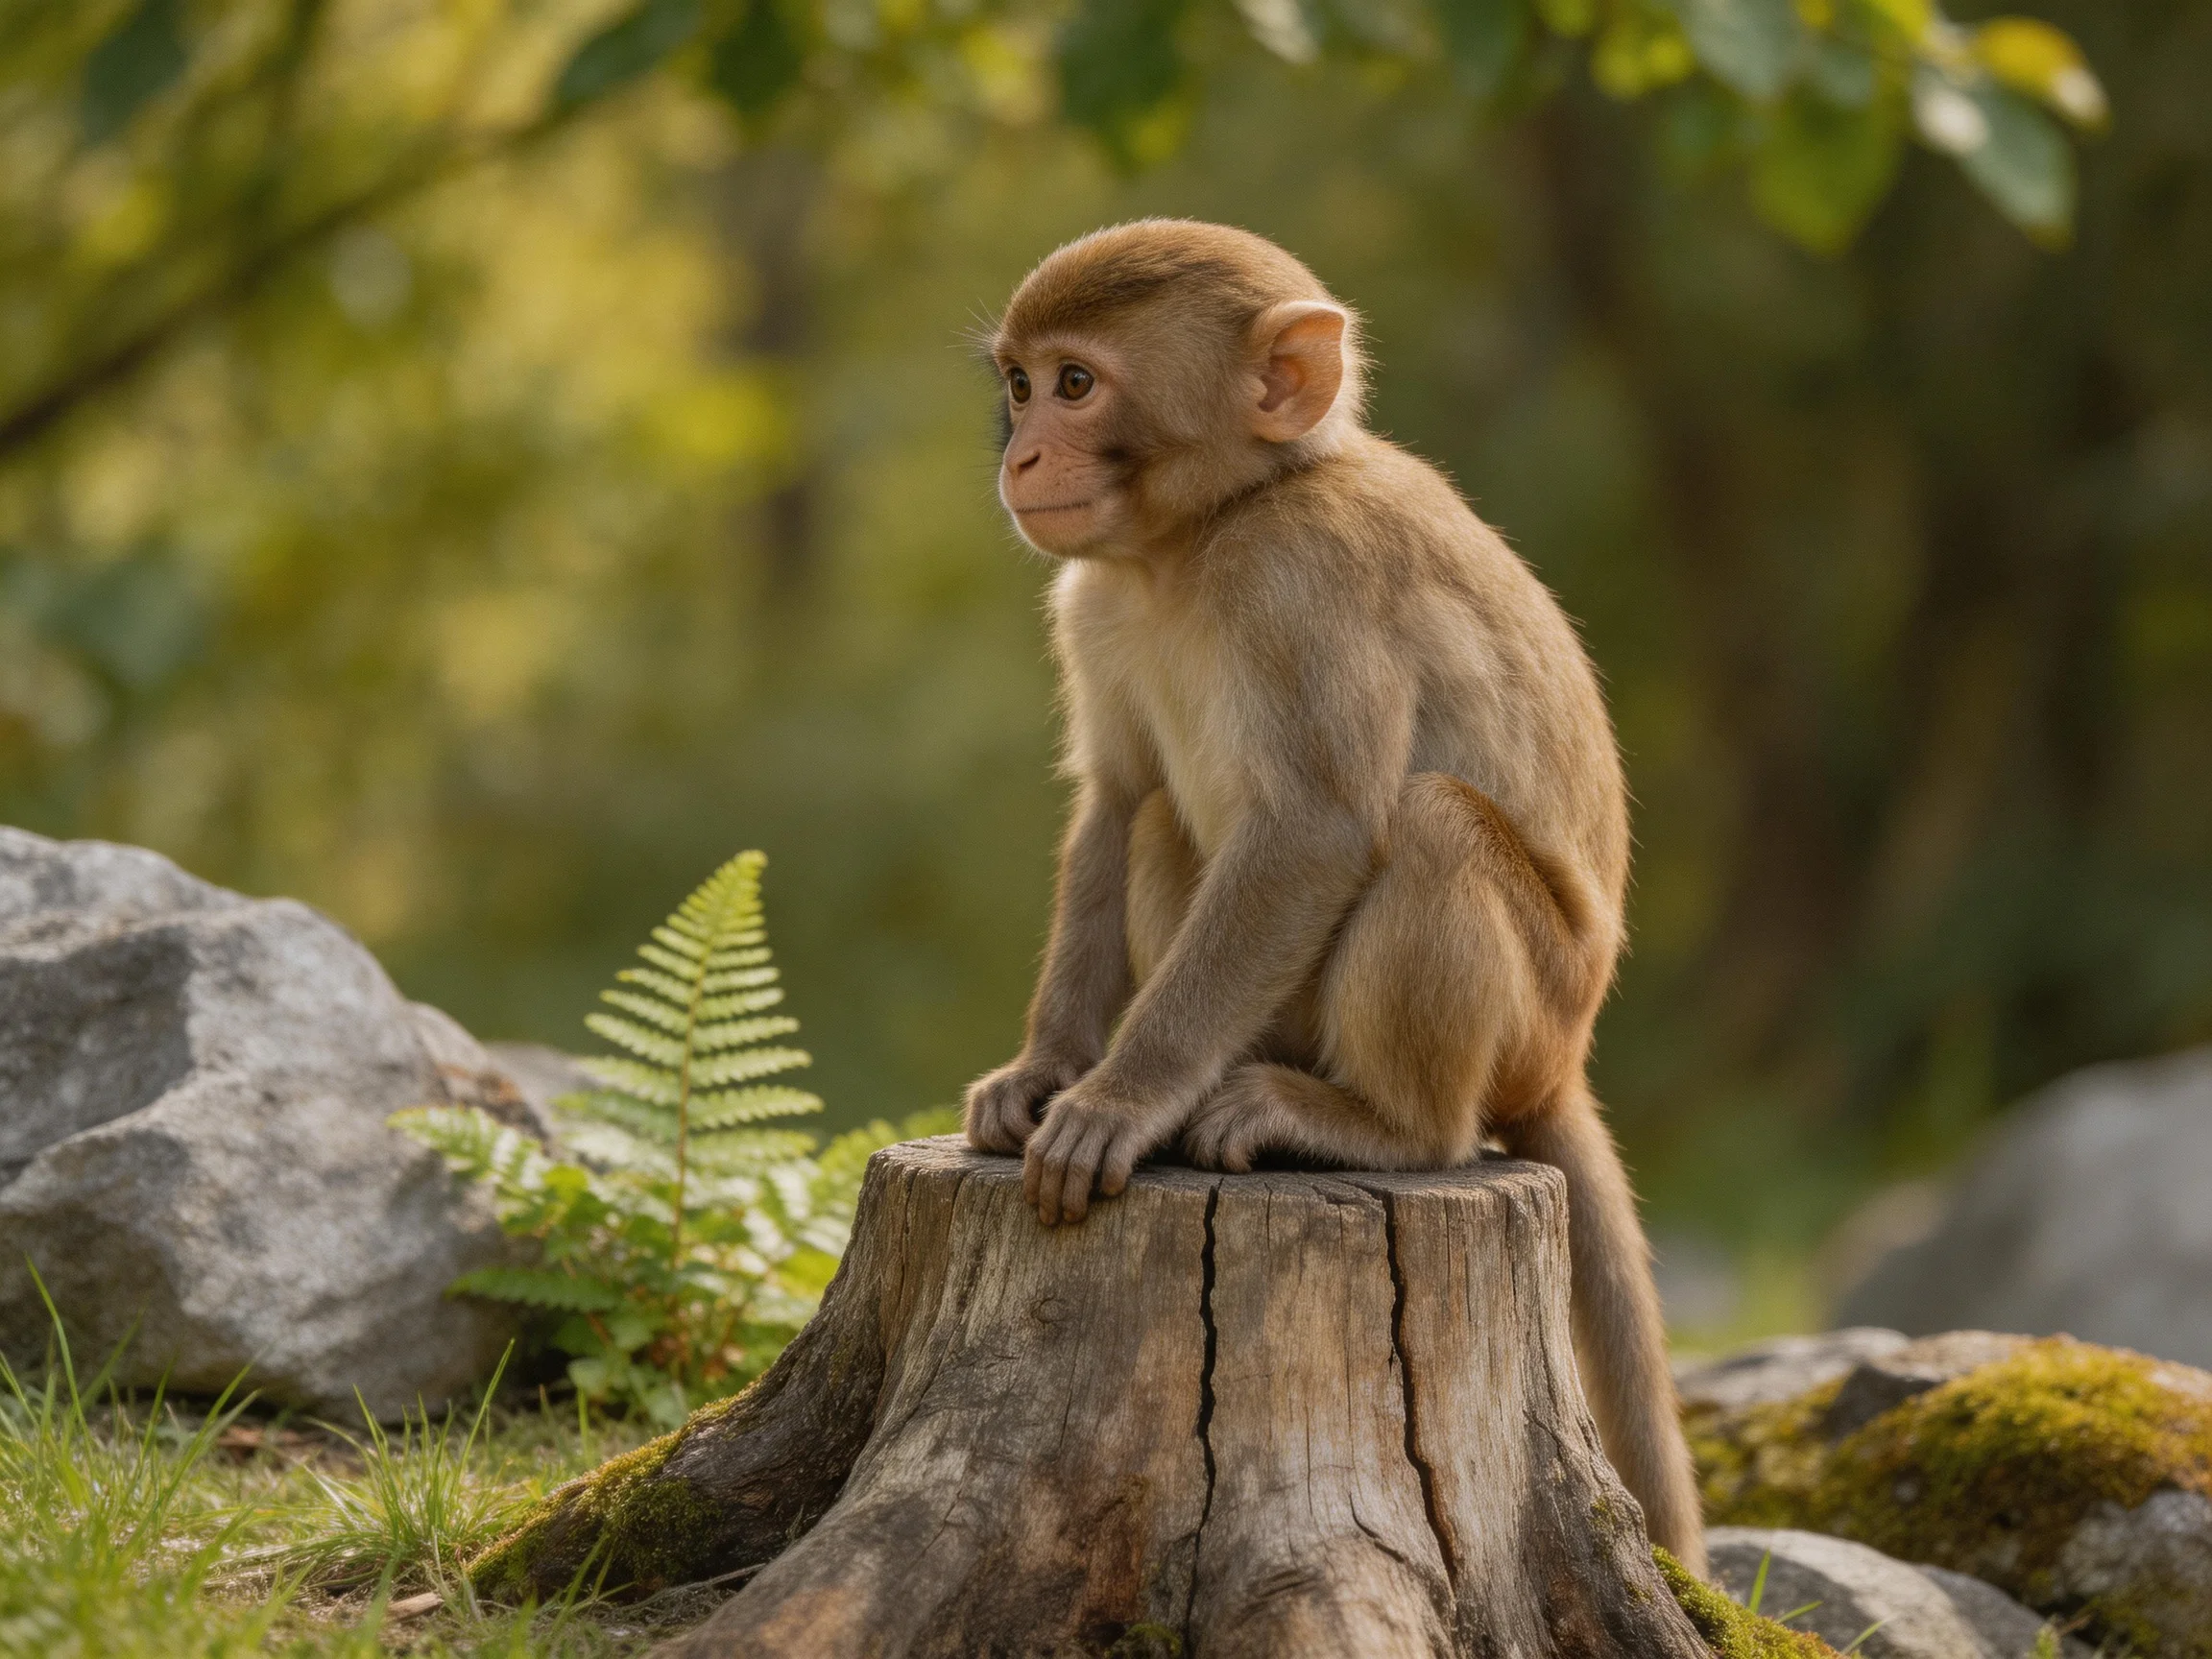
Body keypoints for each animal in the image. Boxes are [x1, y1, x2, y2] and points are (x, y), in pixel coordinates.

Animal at [960, 219, 1706, 1573]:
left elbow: (1316, 832)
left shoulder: (1305, 583)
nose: (1023, 453)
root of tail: (1563, 1061)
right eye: (1021, 384)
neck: (1202, 535)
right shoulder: (1091, 599)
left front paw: (1120, 1100)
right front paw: (1046, 1070)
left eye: (1077, 384)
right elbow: (1116, 803)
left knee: (1429, 832)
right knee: (1165, 817)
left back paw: (1382, 1128)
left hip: (1529, 1014)